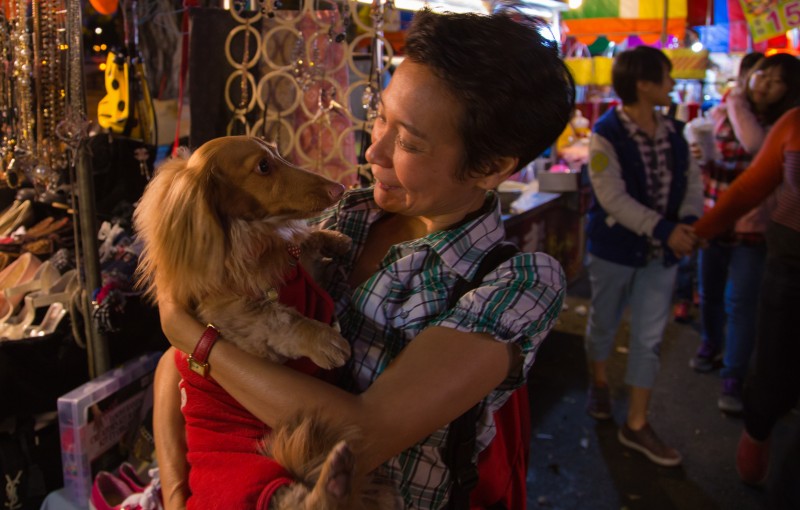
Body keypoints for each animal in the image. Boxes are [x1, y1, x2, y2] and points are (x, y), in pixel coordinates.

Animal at [135, 136, 404, 510]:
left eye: (277, 152)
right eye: (262, 166)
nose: (339, 189)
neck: (255, 240)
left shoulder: (303, 269)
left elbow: (305, 245)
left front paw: (333, 239)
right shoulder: (238, 320)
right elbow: (280, 319)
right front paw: (324, 340)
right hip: (251, 475)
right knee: (307, 503)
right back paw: (335, 478)